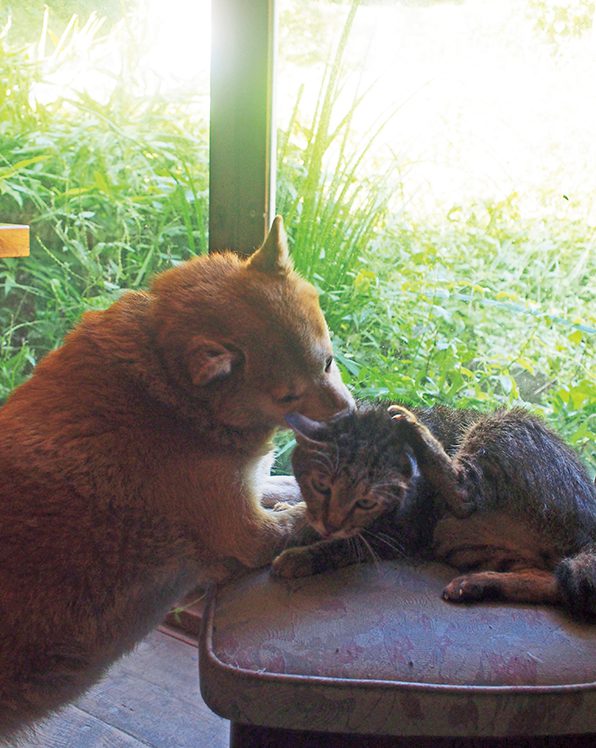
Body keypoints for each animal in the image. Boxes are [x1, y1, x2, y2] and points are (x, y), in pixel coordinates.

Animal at [0, 215, 354, 736]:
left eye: (328, 362)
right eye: (288, 396)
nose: (349, 417)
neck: (169, 387)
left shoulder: (248, 485)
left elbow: (286, 489)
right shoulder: (250, 535)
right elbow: (299, 518)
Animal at [274, 404, 596, 620]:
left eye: (366, 502)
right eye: (321, 486)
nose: (331, 524)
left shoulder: (396, 536)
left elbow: (339, 547)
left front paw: (300, 555)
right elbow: (309, 516)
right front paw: (293, 511)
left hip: (502, 425)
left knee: (465, 494)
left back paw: (413, 427)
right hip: (471, 549)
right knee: (550, 582)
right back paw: (476, 584)